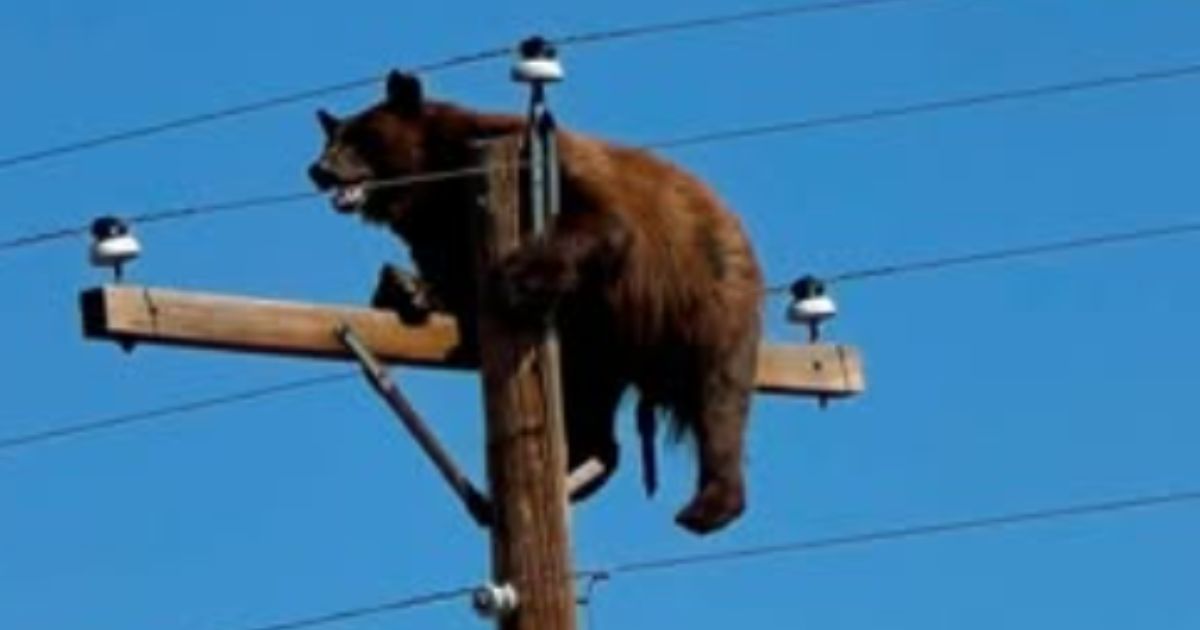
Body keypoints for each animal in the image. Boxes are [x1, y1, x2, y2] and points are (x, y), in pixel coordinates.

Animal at [308, 71, 764, 534]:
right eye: (330, 138)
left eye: (360, 137)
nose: (319, 169)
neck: (434, 181)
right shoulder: (440, 225)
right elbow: (450, 273)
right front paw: (407, 288)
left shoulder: (539, 163)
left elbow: (599, 220)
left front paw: (511, 280)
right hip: (601, 344)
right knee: (589, 401)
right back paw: (579, 467)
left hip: (705, 292)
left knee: (719, 393)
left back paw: (709, 504)